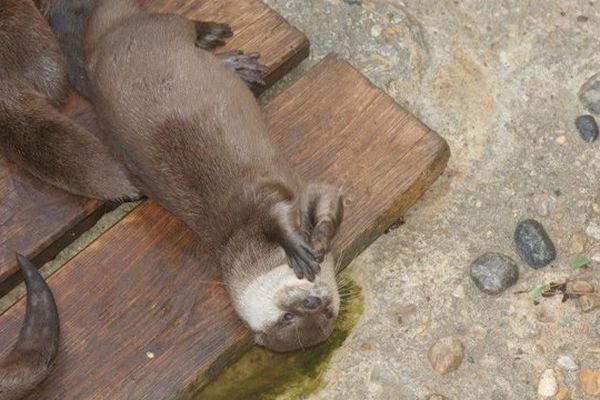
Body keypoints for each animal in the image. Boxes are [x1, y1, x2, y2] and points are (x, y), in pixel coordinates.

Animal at [84, 0, 346, 350]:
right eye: (288, 318)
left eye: (328, 313)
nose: (315, 301)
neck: (241, 237)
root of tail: (101, 45)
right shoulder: (260, 201)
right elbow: (277, 215)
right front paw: (301, 249)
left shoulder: (300, 191)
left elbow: (329, 203)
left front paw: (318, 239)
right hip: (156, 31)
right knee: (177, 21)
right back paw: (217, 39)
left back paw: (232, 58)